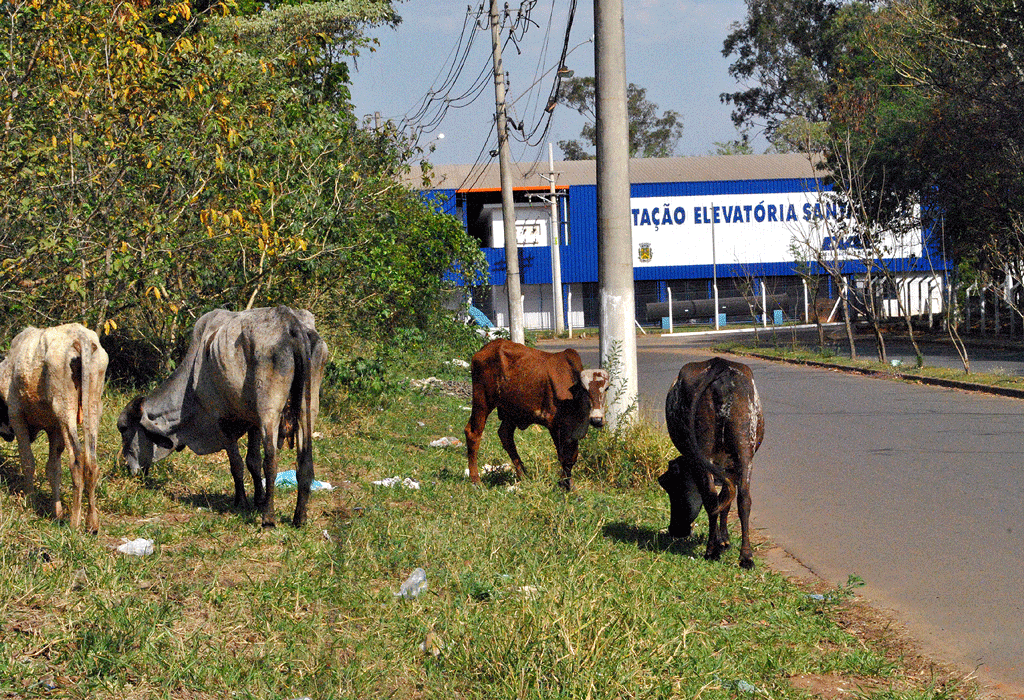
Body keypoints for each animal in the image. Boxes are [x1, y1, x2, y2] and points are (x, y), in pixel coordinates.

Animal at [0, 325, 109, 532]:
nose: (5, 434)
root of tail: (81, 337)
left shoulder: (16, 415)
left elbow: (28, 462)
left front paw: (30, 502)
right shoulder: (55, 428)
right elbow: (53, 469)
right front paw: (56, 511)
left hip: (64, 407)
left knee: (77, 459)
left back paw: (74, 522)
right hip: (93, 407)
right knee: (91, 462)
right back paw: (92, 523)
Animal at [119, 302, 327, 528]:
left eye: (124, 429)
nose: (128, 468)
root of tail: (291, 322)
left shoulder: (222, 421)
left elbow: (237, 464)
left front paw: (242, 502)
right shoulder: (253, 421)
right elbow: (252, 462)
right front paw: (258, 500)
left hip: (270, 411)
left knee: (271, 462)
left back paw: (268, 518)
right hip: (308, 409)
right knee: (304, 463)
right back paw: (299, 517)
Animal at [464, 337, 606, 489]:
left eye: (606, 389)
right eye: (585, 390)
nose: (597, 420)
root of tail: (484, 349)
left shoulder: (571, 433)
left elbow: (572, 457)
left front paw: (569, 484)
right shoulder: (554, 425)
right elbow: (563, 456)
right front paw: (564, 484)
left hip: (512, 411)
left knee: (505, 434)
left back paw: (523, 475)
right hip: (482, 401)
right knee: (473, 433)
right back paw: (476, 480)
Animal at [663, 356, 761, 569]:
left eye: (671, 488)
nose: (674, 530)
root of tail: (720, 364)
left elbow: (724, 500)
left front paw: (722, 540)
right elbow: (726, 500)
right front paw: (723, 540)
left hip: (716, 452)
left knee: (717, 497)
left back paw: (717, 551)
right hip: (743, 451)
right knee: (740, 498)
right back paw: (740, 555)